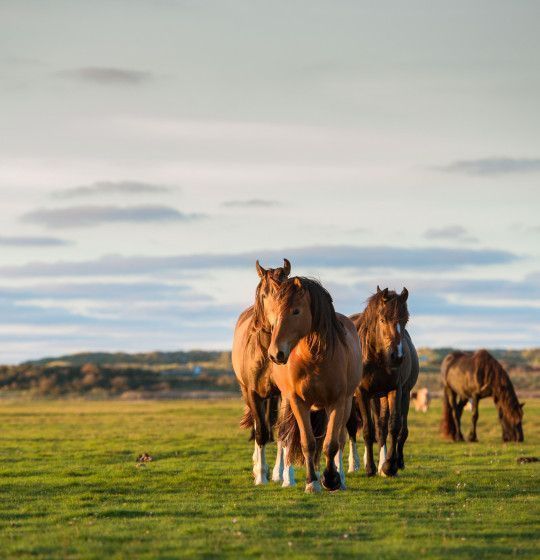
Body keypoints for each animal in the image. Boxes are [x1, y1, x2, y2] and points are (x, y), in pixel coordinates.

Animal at [232, 258, 292, 482]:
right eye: (265, 294)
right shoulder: (253, 393)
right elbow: (260, 434)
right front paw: (261, 476)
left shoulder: (284, 394)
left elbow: (282, 433)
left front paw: (281, 474)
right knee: (260, 427)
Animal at [264, 278, 360, 492]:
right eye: (274, 311)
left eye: (296, 311)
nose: (275, 353)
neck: (313, 358)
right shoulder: (298, 402)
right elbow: (308, 443)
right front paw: (312, 482)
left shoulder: (337, 402)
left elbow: (331, 443)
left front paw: (330, 479)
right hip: (287, 403)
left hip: (346, 404)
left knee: (340, 439)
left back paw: (340, 478)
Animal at [348, 288, 420, 476]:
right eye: (382, 320)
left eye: (405, 320)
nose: (397, 357)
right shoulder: (362, 394)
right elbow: (367, 430)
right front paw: (370, 468)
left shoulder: (396, 390)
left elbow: (393, 426)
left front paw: (389, 466)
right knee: (352, 428)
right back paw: (352, 465)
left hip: (386, 396)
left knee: (385, 427)